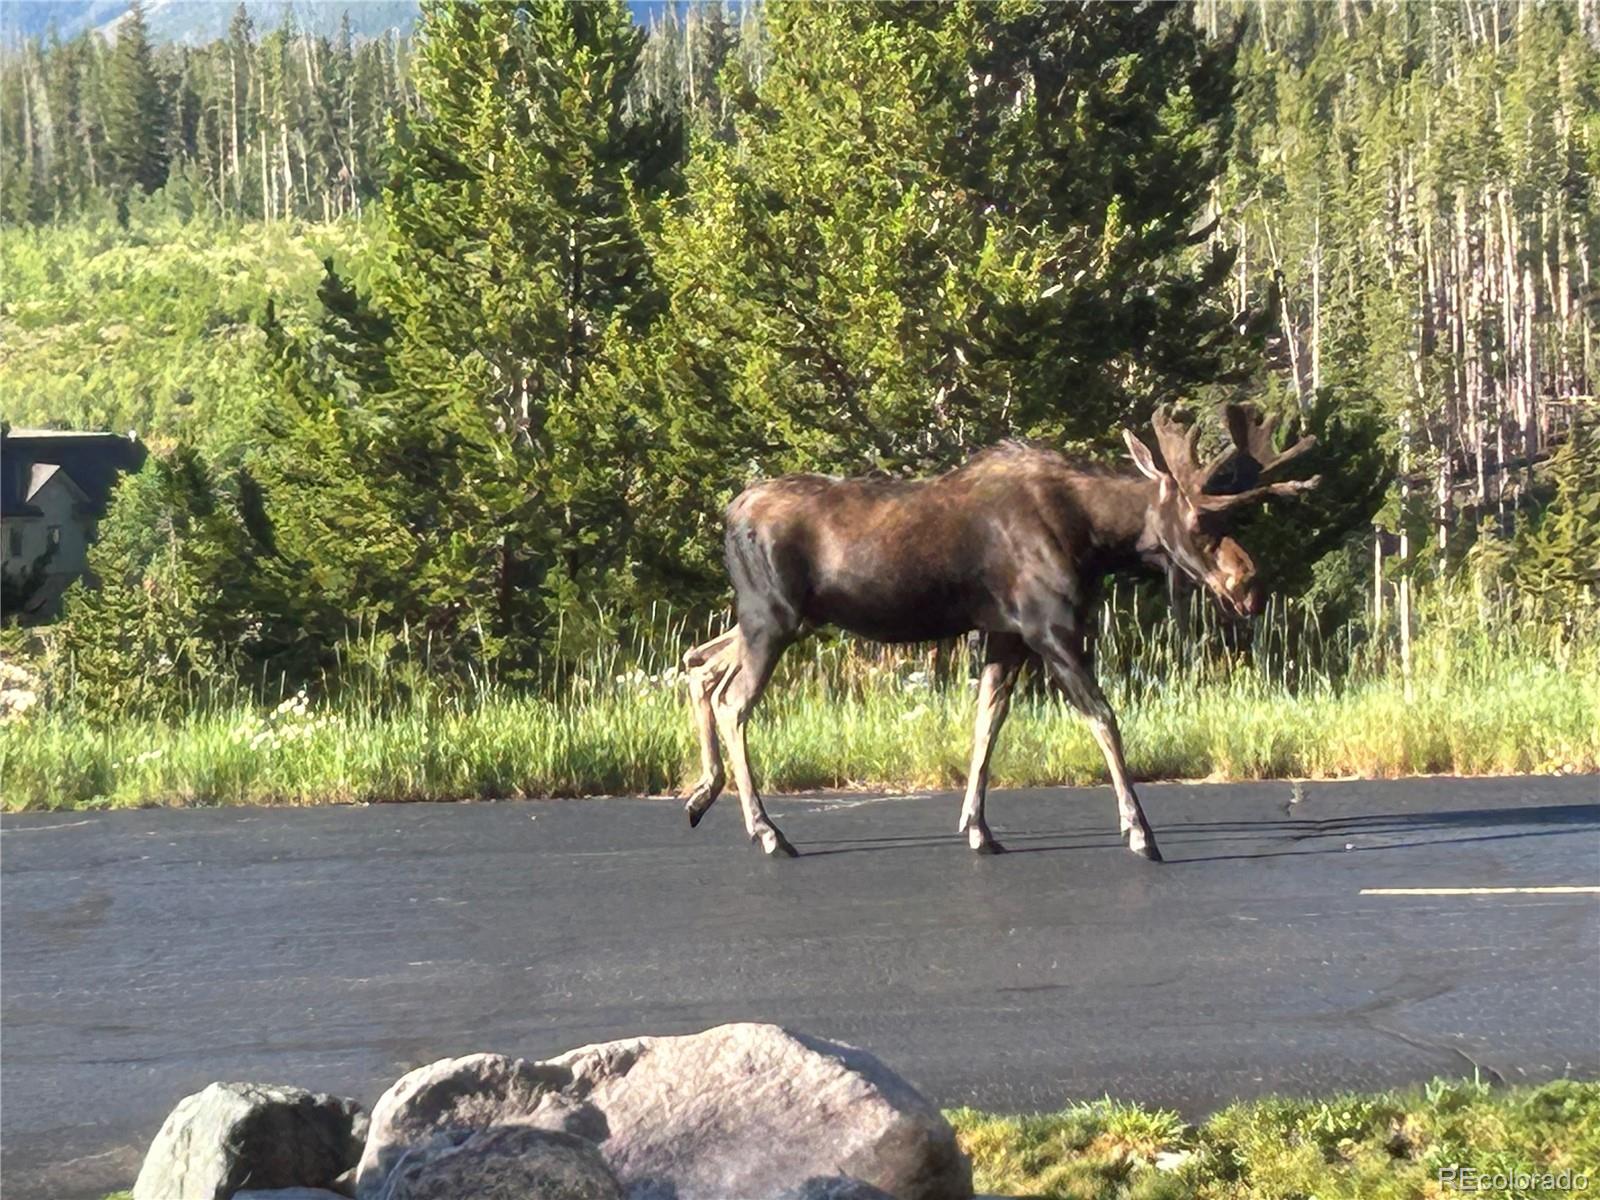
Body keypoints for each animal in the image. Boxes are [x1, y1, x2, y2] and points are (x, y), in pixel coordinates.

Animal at [681, 404, 1318, 864]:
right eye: (1199, 521)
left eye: (1233, 518)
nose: (1250, 587)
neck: (1094, 538)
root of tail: (729, 514)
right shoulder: (1050, 627)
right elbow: (1104, 718)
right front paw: (1140, 832)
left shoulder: (1005, 635)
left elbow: (987, 723)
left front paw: (977, 827)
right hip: (773, 617)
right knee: (733, 699)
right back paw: (766, 831)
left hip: (774, 619)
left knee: (698, 662)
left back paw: (702, 793)